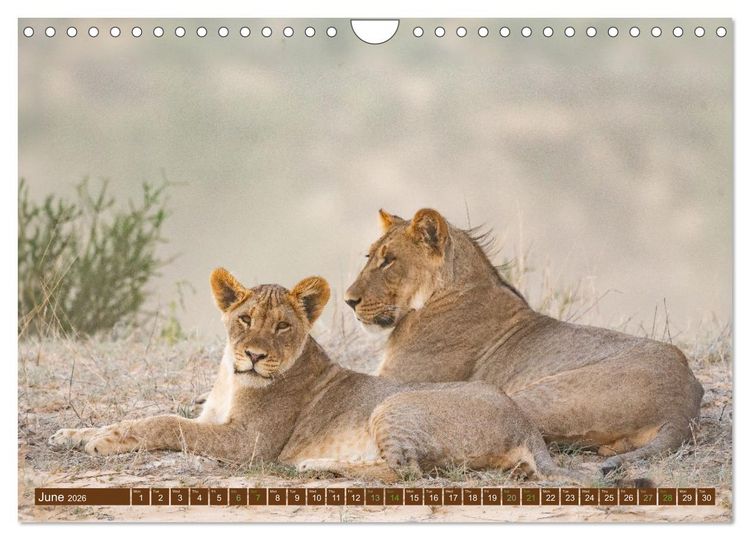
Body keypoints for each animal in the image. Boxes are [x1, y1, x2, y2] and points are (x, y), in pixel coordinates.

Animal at [49, 268, 583, 482]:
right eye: (245, 319)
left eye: (283, 326)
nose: (254, 355)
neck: (231, 377)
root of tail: (524, 423)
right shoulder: (216, 420)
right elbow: (147, 415)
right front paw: (72, 433)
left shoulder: (248, 444)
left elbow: (165, 422)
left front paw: (100, 442)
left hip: (394, 405)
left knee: (405, 471)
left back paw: (316, 467)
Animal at [344, 208, 704, 474]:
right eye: (368, 256)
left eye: (389, 260)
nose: (348, 300)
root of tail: (683, 407)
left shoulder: (392, 380)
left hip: (531, 396)